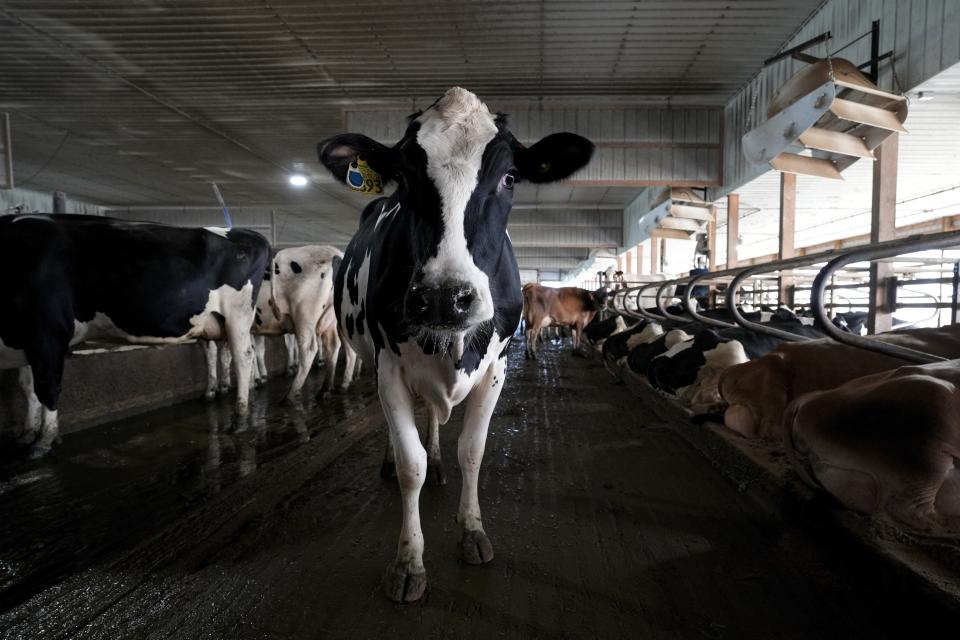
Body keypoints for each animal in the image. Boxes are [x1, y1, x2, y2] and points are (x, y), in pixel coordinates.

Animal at [0, 218, 270, 458]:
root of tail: (250, 234)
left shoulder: (48, 332)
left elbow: (46, 386)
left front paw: (44, 440)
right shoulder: (27, 343)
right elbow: (28, 387)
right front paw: (28, 433)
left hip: (237, 315)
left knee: (243, 357)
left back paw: (240, 420)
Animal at [318, 87, 596, 604]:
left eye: (510, 176)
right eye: (404, 178)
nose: (446, 296)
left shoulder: (497, 368)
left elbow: (473, 450)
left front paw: (471, 530)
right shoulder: (388, 368)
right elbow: (409, 464)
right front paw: (408, 562)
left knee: (433, 417)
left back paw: (440, 463)